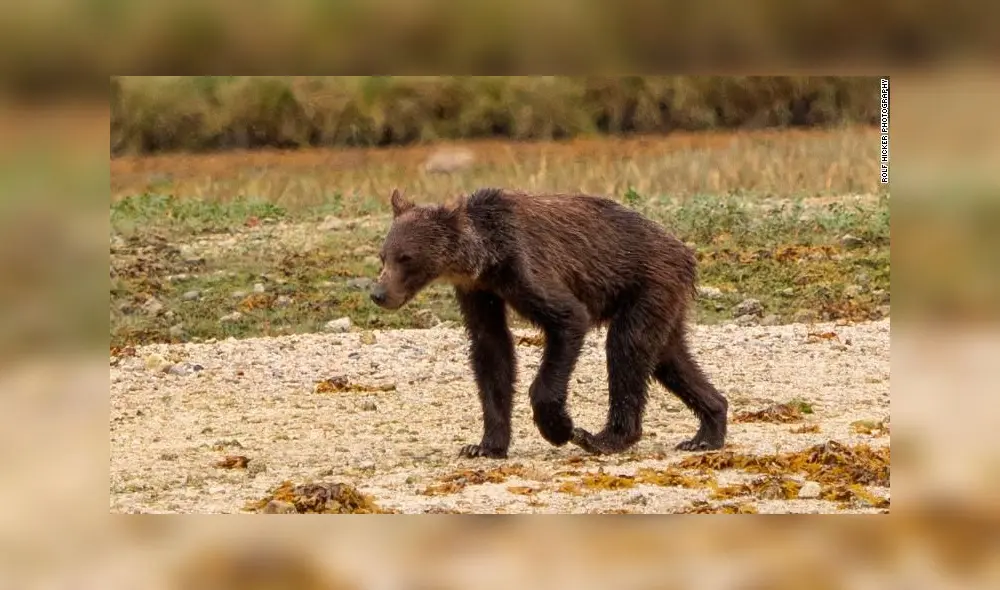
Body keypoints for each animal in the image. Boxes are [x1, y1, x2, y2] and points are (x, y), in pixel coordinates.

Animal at [370, 187, 728, 459]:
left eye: (406, 258)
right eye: (383, 256)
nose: (378, 293)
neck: (487, 258)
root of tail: (685, 251)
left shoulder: (525, 267)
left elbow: (568, 319)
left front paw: (559, 427)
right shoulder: (478, 291)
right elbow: (491, 350)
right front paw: (484, 445)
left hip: (648, 283)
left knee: (627, 347)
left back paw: (603, 438)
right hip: (663, 299)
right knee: (668, 357)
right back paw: (707, 430)